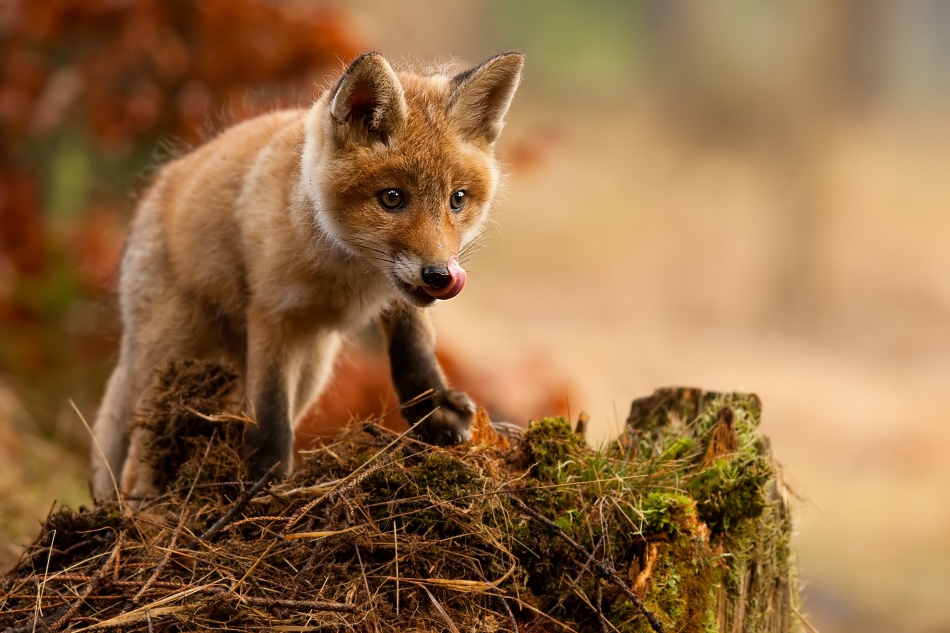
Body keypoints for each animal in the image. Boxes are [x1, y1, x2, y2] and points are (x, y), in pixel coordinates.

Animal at [92, 53, 524, 498]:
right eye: (391, 198)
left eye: (457, 199)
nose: (439, 275)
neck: (349, 273)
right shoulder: (271, 313)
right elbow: (269, 412)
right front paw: (264, 480)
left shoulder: (399, 297)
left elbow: (415, 353)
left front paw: (435, 410)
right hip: (173, 355)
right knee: (135, 462)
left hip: (311, 369)